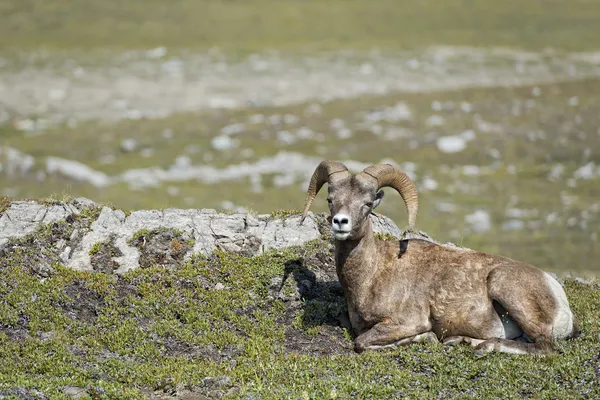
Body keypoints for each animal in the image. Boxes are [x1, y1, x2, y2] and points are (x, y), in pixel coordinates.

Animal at [300, 161, 576, 354]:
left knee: (545, 348)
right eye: (330, 199)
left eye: (367, 203)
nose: (340, 222)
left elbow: (361, 341)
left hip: (504, 287)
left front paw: (426, 338)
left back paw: (486, 347)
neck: (372, 275)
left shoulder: (405, 322)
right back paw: (459, 341)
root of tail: (558, 295)